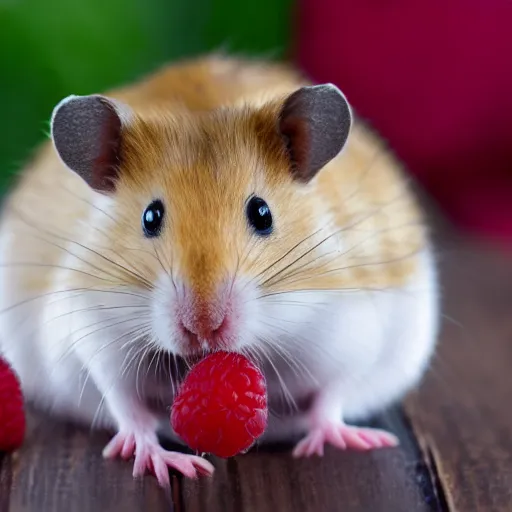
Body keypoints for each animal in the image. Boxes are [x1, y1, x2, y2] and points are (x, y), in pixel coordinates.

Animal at [0, 54, 440, 486]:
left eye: (262, 213)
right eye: (149, 217)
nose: (203, 328)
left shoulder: (352, 324)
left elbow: (333, 394)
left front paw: (338, 441)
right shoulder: (93, 327)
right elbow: (125, 403)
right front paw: (169, 462)